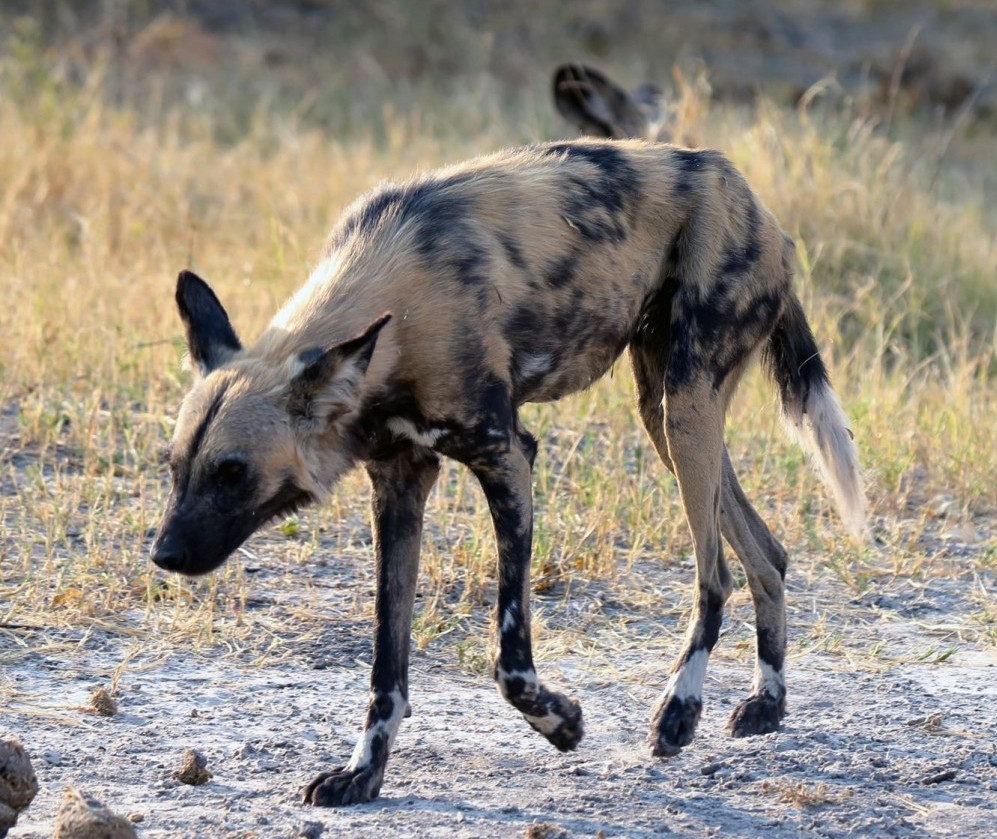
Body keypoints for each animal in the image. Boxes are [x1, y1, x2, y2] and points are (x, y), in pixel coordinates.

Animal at [152, 138, 868, 808]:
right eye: (175, 467)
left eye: (232, 473)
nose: (163, 555)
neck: (397, 313)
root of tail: (744, 189)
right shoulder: (400, 482)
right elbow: (387, 663)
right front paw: (363, 773)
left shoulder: (508, 458)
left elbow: (510, 661)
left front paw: (563, 725)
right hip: (667, 416)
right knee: (767, 553)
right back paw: (768, 703)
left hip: (686, 405)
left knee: (714, 575)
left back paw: (678, 712)